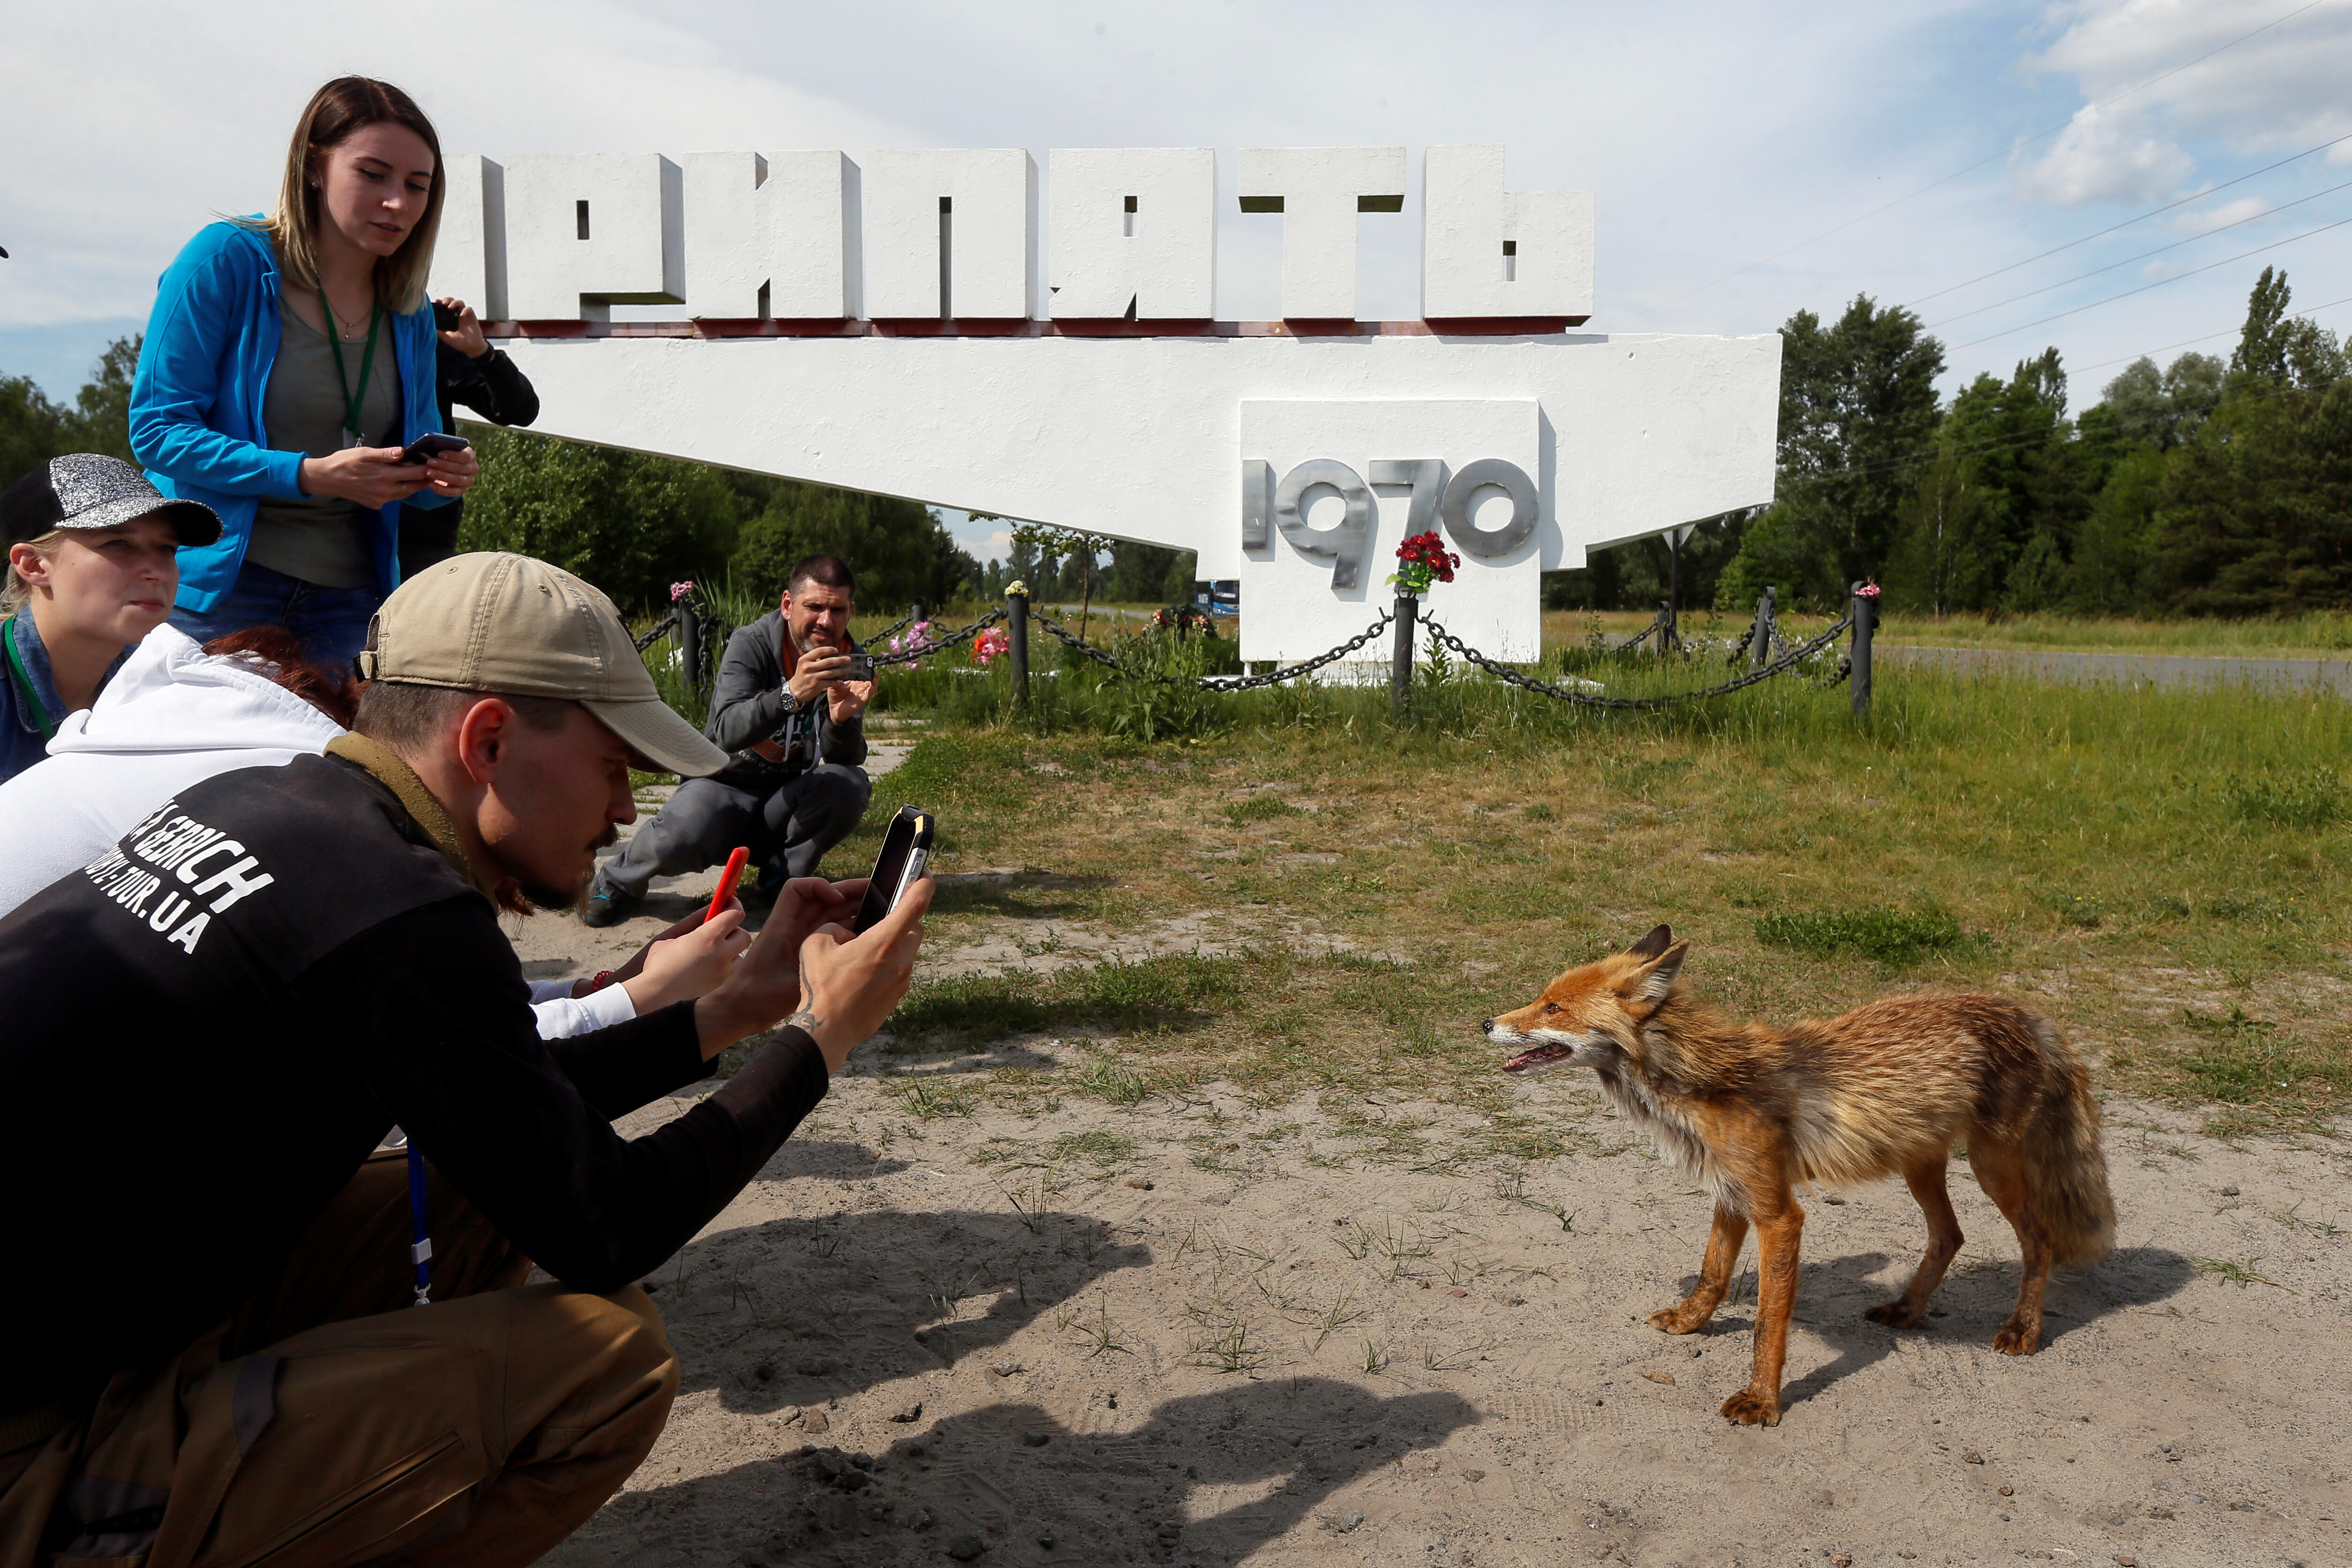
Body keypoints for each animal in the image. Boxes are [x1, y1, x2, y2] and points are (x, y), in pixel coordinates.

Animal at [1486, 926, 2117, 1429]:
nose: (1486, 1020)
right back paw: (1907, 1311)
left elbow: (1769, 1323)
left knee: (2039, 1238)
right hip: (1919, 1165)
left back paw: (2024, 1329)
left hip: (1993, 1166)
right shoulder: (1733, 1191)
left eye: (1553, 1008)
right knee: (1949, 1235)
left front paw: (1762, 1401)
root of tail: (2025, 1011)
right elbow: (1713, 1272)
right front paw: (1690, 1322)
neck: (1708, 1081)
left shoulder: (1779, 1214)